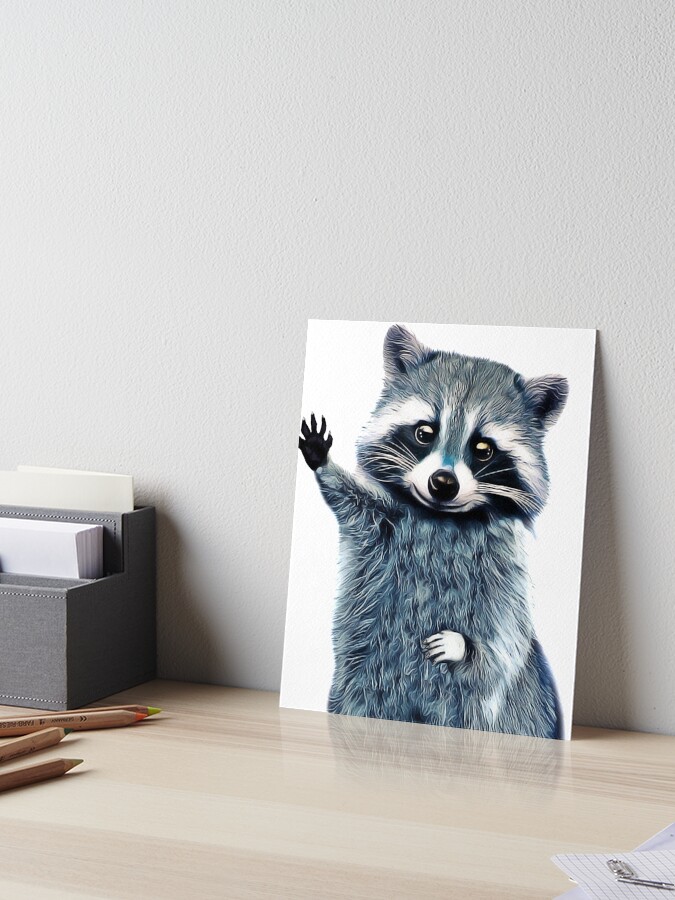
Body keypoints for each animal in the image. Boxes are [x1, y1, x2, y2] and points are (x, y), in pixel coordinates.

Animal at [298, 324, 568, 739]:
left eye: (484, 448)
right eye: (425, 432)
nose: (443, 483)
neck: (440, 516)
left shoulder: (502, 564)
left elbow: (507, 635)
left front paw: (461, 646)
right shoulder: (382, 522)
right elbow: (349, 499)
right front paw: (323, 462)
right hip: (365, 686)